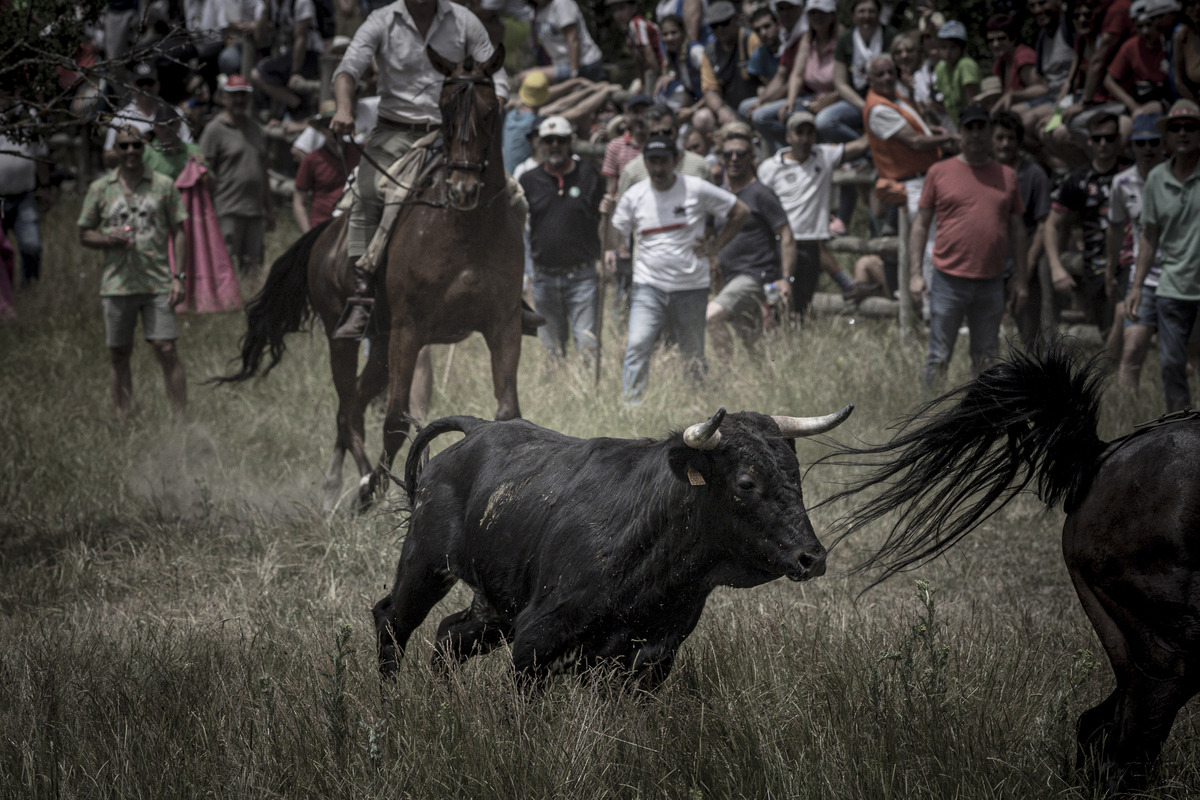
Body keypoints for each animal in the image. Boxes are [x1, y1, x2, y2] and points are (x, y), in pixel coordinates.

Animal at [214, 45, 520, 513]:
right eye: (445, 109)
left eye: (490, 110)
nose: (463, 187)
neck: (463, 228)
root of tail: (326, 233)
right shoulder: (410, 330)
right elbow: (395, 420)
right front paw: (379, 488)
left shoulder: (503, 325)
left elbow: (506, 411)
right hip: (345, 336)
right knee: (347, 408)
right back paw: (353, 484)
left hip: (381, 342)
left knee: (355, 400)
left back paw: (343, 483)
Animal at [374, 407, 854, 690]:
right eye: (746, 483)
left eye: (794, 472)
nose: (813, 557)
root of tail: (478, 430)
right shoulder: (535, 640)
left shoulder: (654, 658)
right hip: (425, 565)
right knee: (392, 621)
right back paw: (390, 704)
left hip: (494, 604)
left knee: (449, 635)